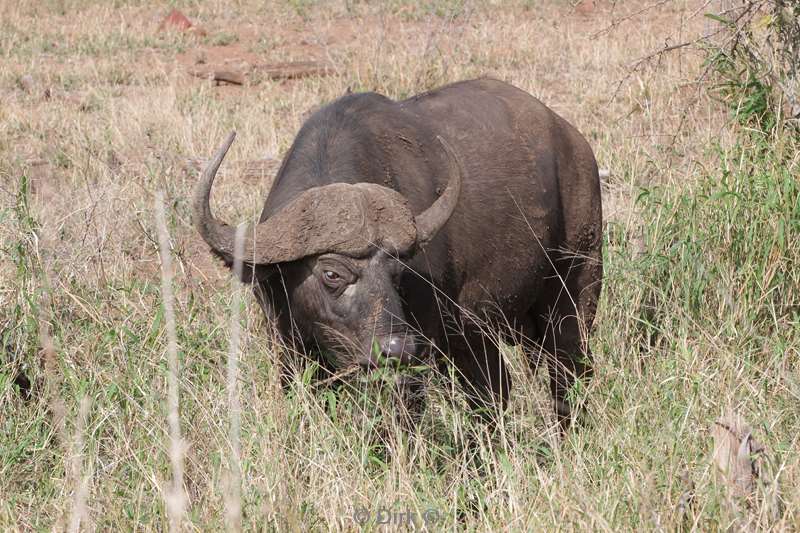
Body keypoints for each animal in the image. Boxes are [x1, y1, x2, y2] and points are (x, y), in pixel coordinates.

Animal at [197, 78, 604, 428]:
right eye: (332, 274)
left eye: (398, 273)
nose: (395, 348)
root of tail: (574, 143)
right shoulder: (288, 348)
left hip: (576, 288)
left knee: (564, 372)